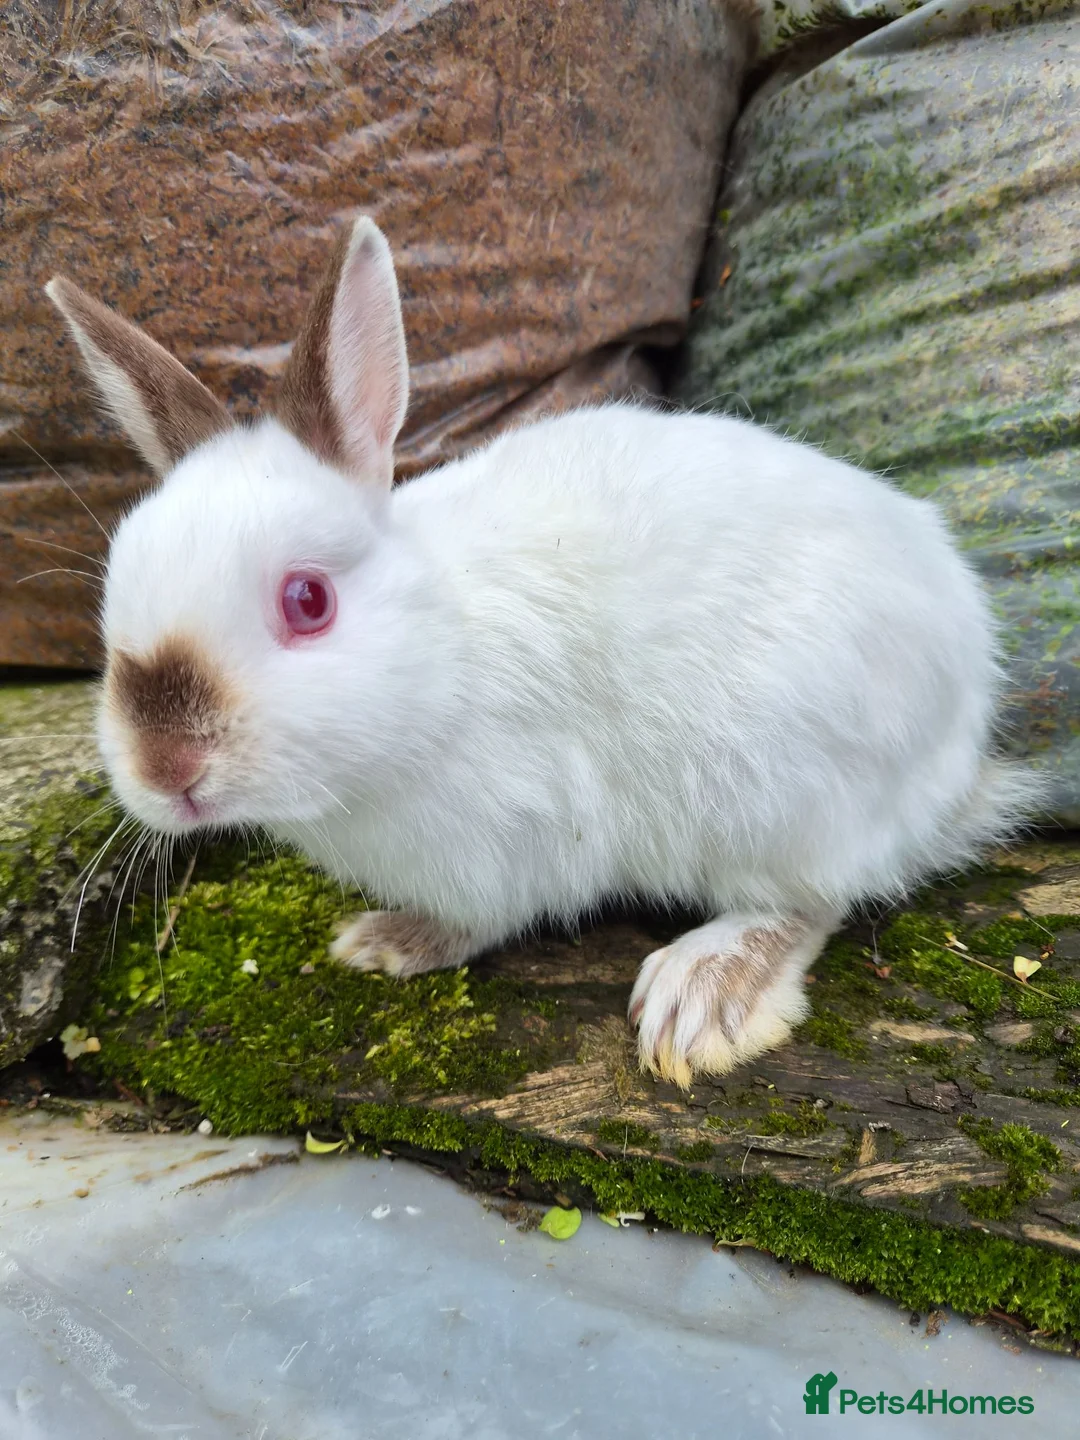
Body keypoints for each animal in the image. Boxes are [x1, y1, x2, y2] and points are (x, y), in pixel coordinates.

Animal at [45, 217, 1042, 1088]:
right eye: (113, 595)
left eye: (308, 601)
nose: (168, 767)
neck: (442, 654)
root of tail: (958, 749)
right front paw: (380, 943)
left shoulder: (519, 841)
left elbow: (491, 916)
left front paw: (400, 942)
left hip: (782, 792)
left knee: (815, 899)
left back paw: (703, 994)